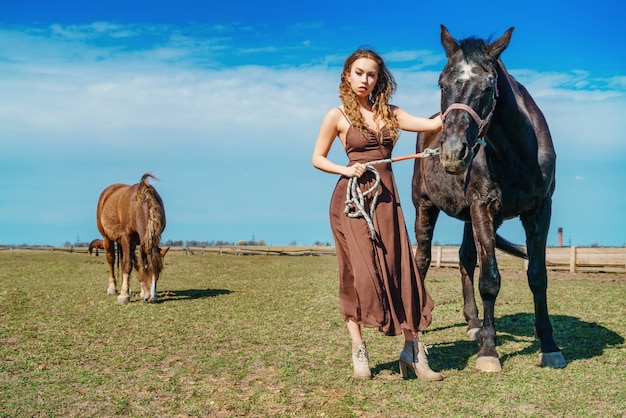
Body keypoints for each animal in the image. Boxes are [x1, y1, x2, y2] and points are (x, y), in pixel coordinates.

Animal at [95, 173, 166, 304]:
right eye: (147, 270)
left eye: (158, 272)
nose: (152, 299)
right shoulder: (127, 238)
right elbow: (128, 265)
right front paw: (123, 295)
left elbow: (135, 263)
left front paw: (140, 291)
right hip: (107, 238)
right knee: (111, 259)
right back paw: (113, 288)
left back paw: (130, 289)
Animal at [412, 25, 564, 372]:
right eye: (441, 82)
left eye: (489, 85)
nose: (453, 152)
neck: (518, 155)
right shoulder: (483, 207)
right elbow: (490, 280)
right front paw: (489, 351)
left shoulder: (539, 211)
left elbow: (537, 276)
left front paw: (549, 345)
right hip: (424, 205)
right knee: (422, 258)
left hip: (468, 217)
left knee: (465, 260)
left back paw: (473, 323)